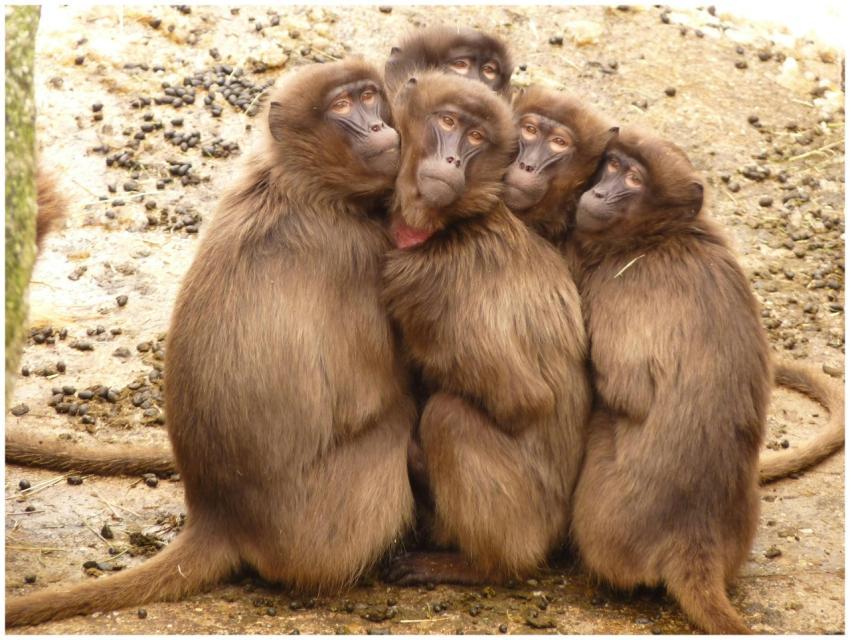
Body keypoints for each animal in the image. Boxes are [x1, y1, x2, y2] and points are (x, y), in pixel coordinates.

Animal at [6, 58, 416, 628]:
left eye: (370, 96)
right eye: (341, 106)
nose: (378, 126)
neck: (299, 183)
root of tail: (220, 515)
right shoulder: (360, 251)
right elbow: (379, 393)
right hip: (329, 527)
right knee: (400, 422)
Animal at [379, 71, 590, 585]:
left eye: (475, 137)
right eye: (448, 122)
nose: (452, 158)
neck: (451, 224)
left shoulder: (434, 283)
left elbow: (522, 401)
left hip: (526, 521)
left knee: (449, 417)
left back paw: (478, 566)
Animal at [568, 126, 780, 634]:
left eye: (634, 178)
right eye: (613, 165)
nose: (598, 193)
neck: (664, 236)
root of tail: (694, 536)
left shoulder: (620, 286)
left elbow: (624, 390)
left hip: (611, 517)